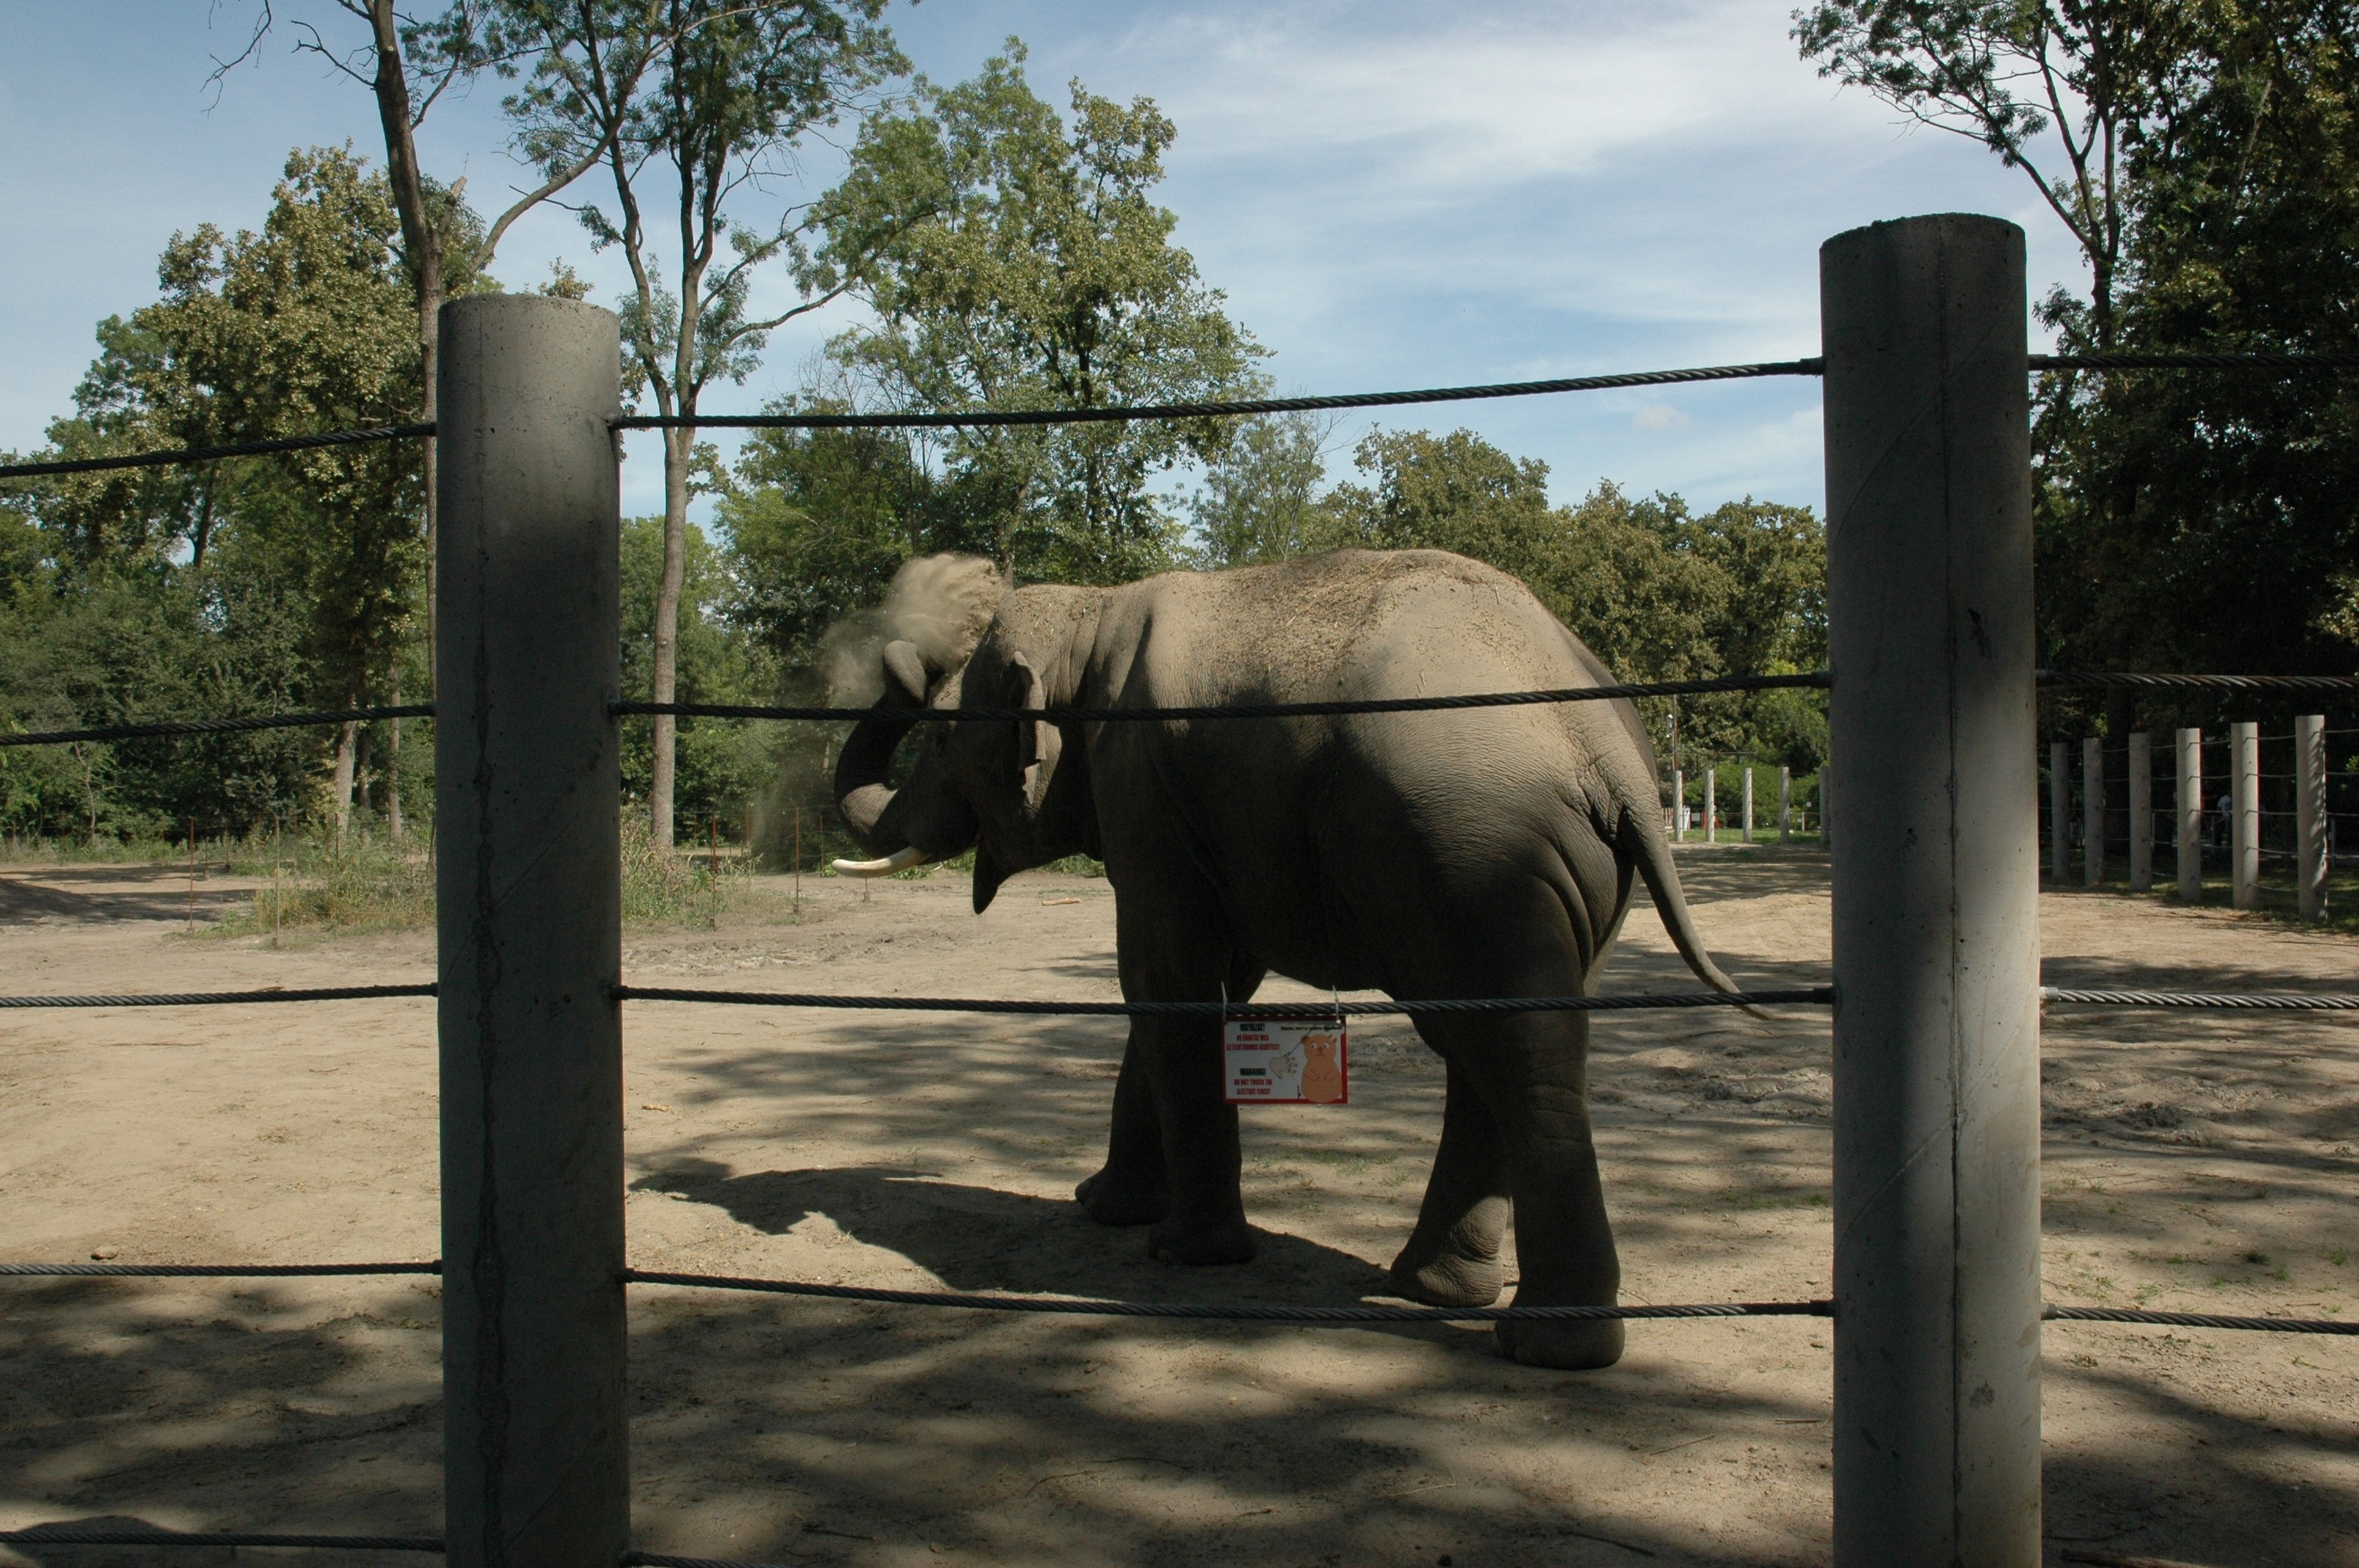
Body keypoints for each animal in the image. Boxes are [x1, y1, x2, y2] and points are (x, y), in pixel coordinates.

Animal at [828, 548, 1748, 1368]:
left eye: (941, 743)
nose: (913, 637)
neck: (1090, 620)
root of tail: (1606, 748)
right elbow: (1209, 982)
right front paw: (1107, 1210)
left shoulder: (1143, 796)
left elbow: (1162, 980)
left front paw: (1181, 1251)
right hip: (1550, 879)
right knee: (1496, 1041)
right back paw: (1437, 1291)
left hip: (1473, 850)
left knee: (1515, 1052)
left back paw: (1547, 1346)